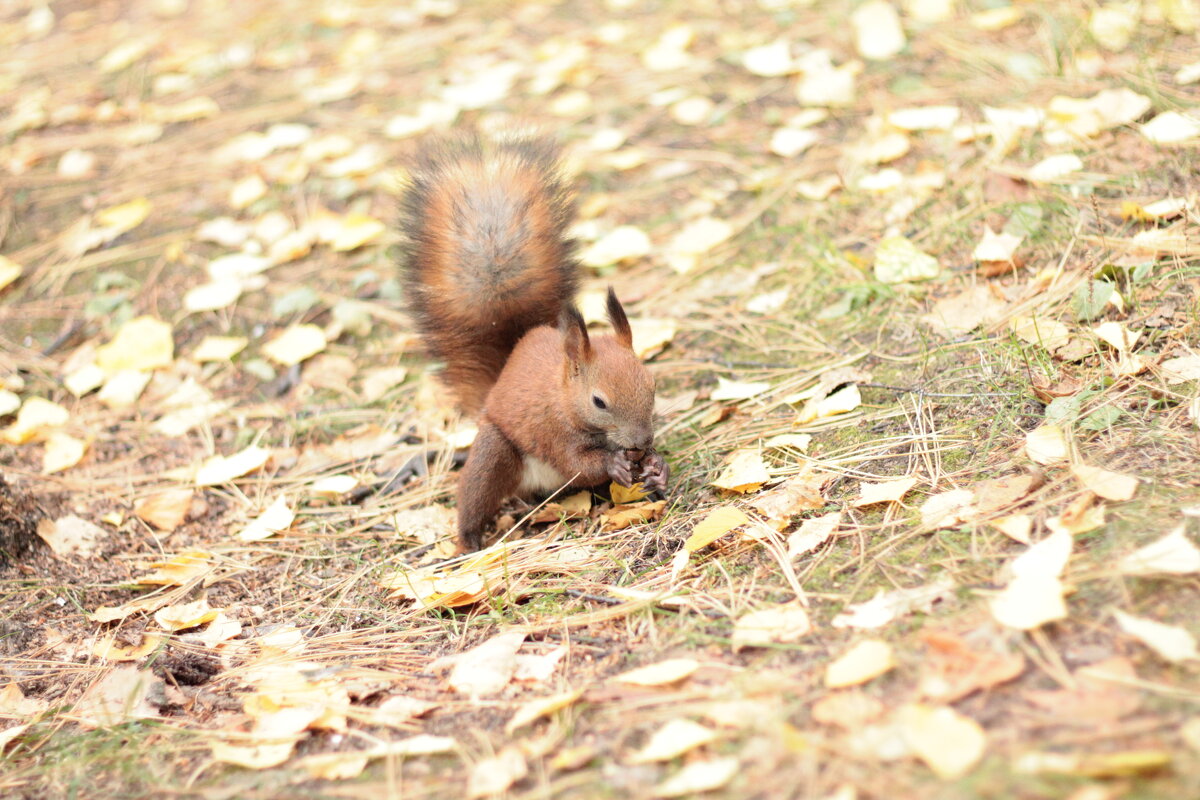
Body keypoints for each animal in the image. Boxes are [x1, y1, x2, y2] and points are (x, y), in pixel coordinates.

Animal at [400, 136, 667, 551]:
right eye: (599, 402)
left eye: (652, 387)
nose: (640, 442)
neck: (564, 396)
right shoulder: (552, 429)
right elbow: (578, 463)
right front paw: (614, 464)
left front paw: (656, 466)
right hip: (494, 453)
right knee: (477, 494)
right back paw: (468, 541)